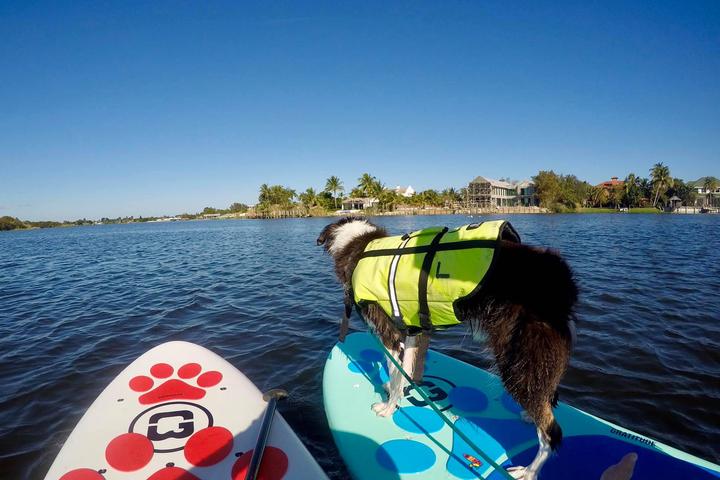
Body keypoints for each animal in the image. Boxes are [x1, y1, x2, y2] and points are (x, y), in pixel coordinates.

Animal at [320, 218, 580, 480]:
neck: (358, 245)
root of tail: (562, 281)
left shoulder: (389, 333)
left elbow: (394, 372)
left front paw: (389, 407)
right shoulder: (414, 330)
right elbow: (407, 369)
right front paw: (403, 388)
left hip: (518, 362)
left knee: (552, 432)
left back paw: (529, 470)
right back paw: (530, 416)